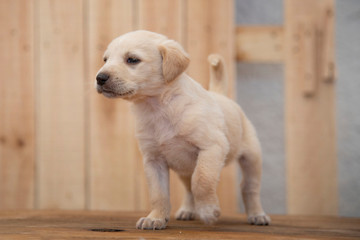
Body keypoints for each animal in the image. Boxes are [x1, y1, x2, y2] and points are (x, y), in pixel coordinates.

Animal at [95, 30, 270, 231]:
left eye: (132, 59)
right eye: (105, 59)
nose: (99, 78)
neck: (158, 107)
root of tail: (220, 95)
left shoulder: (212, 147)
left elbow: (202, 181)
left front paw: (208, 211)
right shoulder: (153, 160)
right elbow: (158, 194)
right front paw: (156, 218)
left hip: (252, 158)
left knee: (249, 188)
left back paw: (257, 215)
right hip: (184, 169)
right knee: (188, 188)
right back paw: (187, 210)